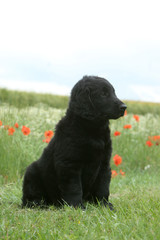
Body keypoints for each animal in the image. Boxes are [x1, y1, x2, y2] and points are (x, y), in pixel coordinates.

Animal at [21, 76, 126, 209]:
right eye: (103, 94)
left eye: (113, 93)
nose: (124, 107)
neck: (93, 131)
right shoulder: (69, 164)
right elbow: (74, 188)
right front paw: (77, 207)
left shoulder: (104, 164)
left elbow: (103, 187)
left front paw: (104, 205)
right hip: (31, 172)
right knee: (29, 197)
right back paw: (38, 204)